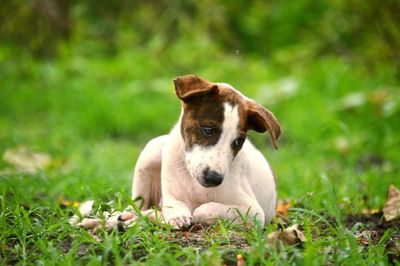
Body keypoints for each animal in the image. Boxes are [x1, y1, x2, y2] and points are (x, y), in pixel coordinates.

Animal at [75, 75, 282, 231]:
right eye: (208, 129)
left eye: (238, 141)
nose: (214, 178)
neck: (196, 186)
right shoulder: (171, 193)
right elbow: (174, 205)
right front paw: (176, 215)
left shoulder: (254, 213)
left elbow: (202, 209)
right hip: (151, 152)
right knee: (136, 206)